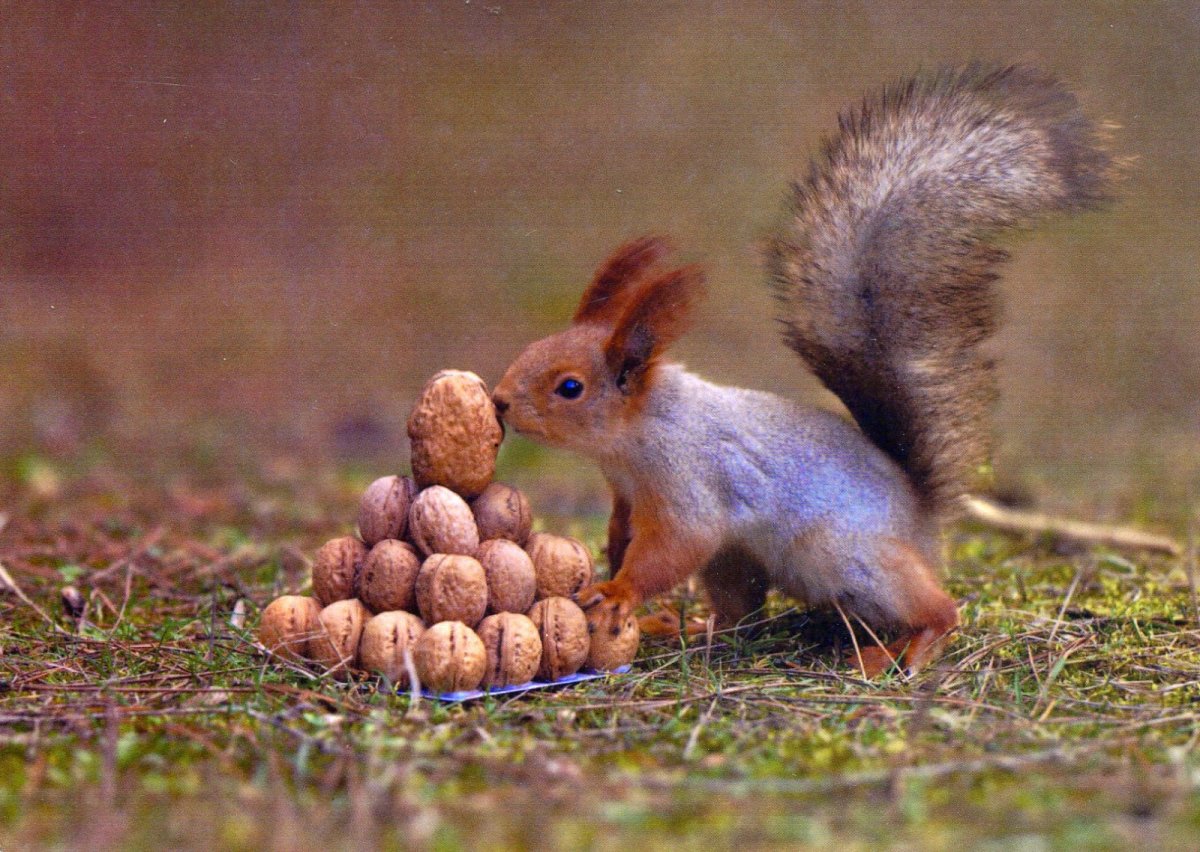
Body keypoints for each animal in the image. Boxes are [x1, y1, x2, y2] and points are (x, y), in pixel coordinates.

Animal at [491, 64, 1112, 675]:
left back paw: (900, 651)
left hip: (847, 557)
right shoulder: (625, 491)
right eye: (536, 346)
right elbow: (624, 529)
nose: (499, 401)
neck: (640, 430)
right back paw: (688, 628)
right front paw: (614, 560)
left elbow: (675, 546)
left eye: (569, 387)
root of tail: (920, 520)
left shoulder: (690, 481)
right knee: (740, 616)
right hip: (739, 560)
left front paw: (620, 590)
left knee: (937, 609)